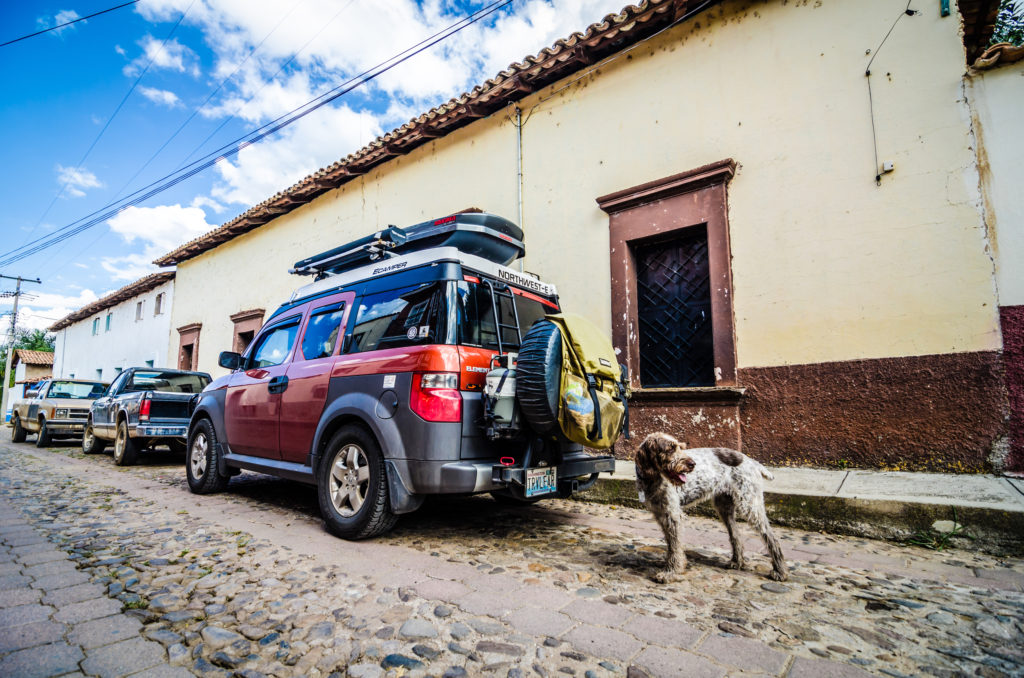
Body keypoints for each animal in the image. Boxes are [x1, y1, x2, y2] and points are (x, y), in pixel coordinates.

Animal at [634, 436, 786, 585]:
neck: (652, 479)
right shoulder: (662, 515)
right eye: (670, 449)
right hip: (724, 507)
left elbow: (675, 547)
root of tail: (752, 462)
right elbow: (671, 545)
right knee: (735, 535)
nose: (692, 464)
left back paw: (780, 571)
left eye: (681, 447)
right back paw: (737, 562)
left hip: (749, 504)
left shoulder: (672, 516)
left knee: (771, 538)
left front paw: (670, 573)